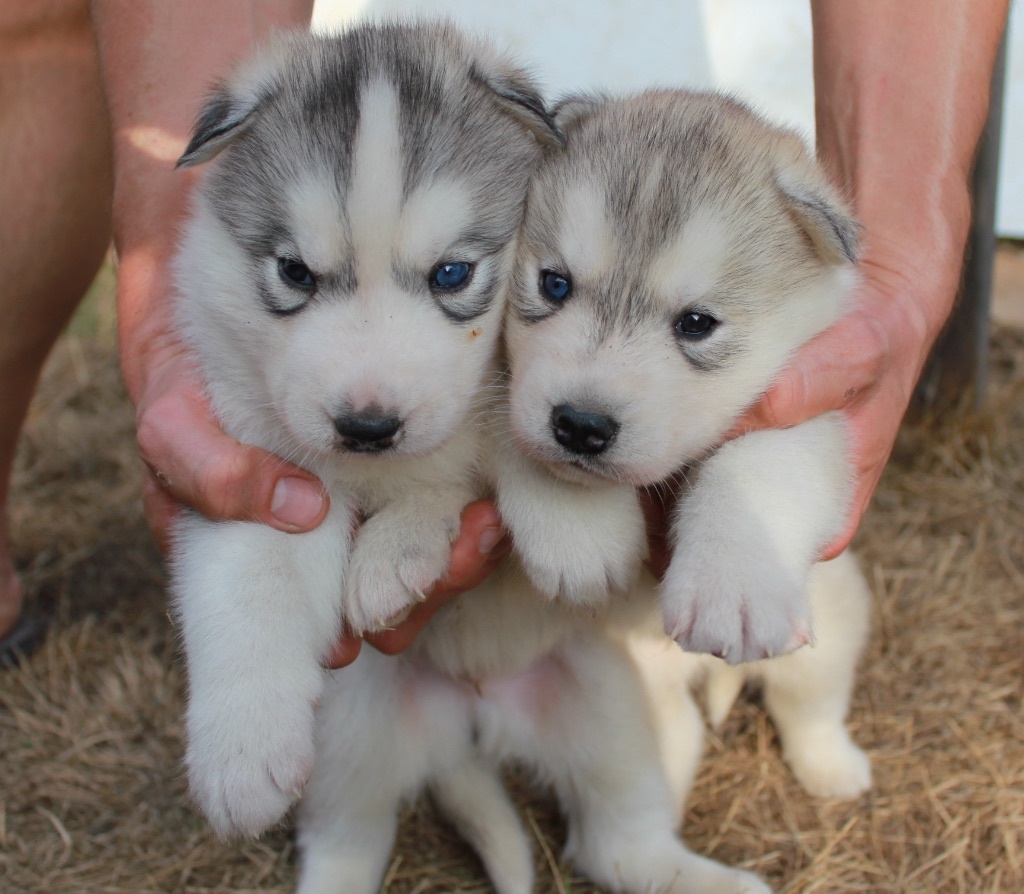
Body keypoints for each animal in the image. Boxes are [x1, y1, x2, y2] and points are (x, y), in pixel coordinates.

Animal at [172, 24, 565, 839]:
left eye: (452, 274)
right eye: (294, 272)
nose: (367, 425)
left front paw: (400, 550)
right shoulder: (255, 467)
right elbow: (248, 577)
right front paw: (242, 749)